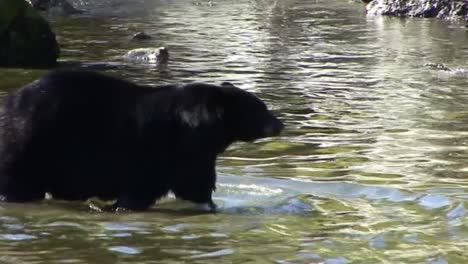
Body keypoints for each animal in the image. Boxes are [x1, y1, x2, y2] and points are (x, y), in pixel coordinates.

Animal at [0, 69, 284, 211]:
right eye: (260, 108)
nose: (280, 124)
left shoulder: (194, 156)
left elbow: (195, 186)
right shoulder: (160, 151)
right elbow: (144, 188)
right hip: (30, 144)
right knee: (19, 182)